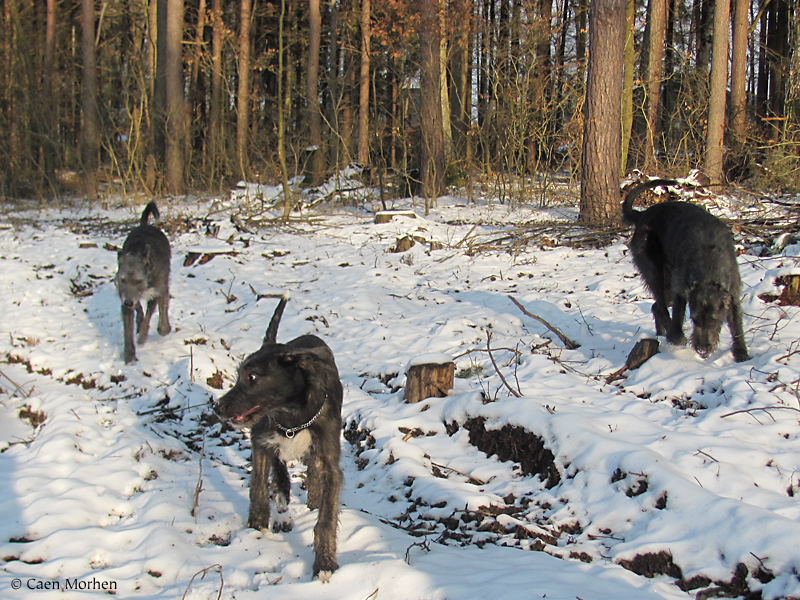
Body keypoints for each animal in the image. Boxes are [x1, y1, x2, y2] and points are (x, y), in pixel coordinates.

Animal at [115, 202, 170, 364]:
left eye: (138, 281)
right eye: (122, 280)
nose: (128, 302)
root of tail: (145, 225)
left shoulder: (159, 290)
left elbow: (154, 314)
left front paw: (145, 336)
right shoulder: (125, 299)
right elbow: (128, 330)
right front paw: (129, 355)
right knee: (139, 308)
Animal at [216, 296, 344, 580]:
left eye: (252, 377)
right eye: (239, 375)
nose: (217, 408)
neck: (292, 415)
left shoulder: (329, 460)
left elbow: (326, 518)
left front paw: (324, 563)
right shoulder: (260, 439)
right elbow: (257, 486)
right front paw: (257, 524)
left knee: (311, 473)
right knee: (278, 462)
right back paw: (283, 491)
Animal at [624, 180, 752, 364]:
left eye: (714, 319)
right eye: (694, 319)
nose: (702, 349)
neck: (709, 271)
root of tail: (642, 215)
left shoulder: (733, 293)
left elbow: (737, 324)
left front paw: (741, 351)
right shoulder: (681, 289)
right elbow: (678, 314)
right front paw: (676, 337)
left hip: (667, 286)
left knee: (656, 307)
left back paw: (660, 334)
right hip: (656, 275)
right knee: (661, 307)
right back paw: (667, 332)